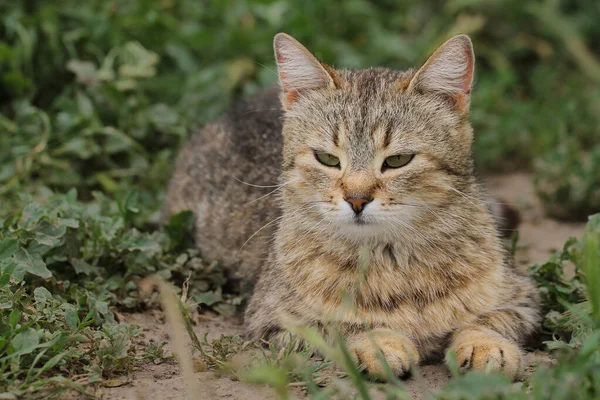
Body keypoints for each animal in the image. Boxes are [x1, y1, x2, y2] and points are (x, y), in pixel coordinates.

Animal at [163, 32, 540, 380]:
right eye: (327, 159)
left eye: (398, 160)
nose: (357, 199)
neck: (391, 260)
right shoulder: (271, 319)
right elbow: (338, 325)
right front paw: (379, 342)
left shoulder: (524, 296)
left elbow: (487, 320)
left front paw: (485, 345)